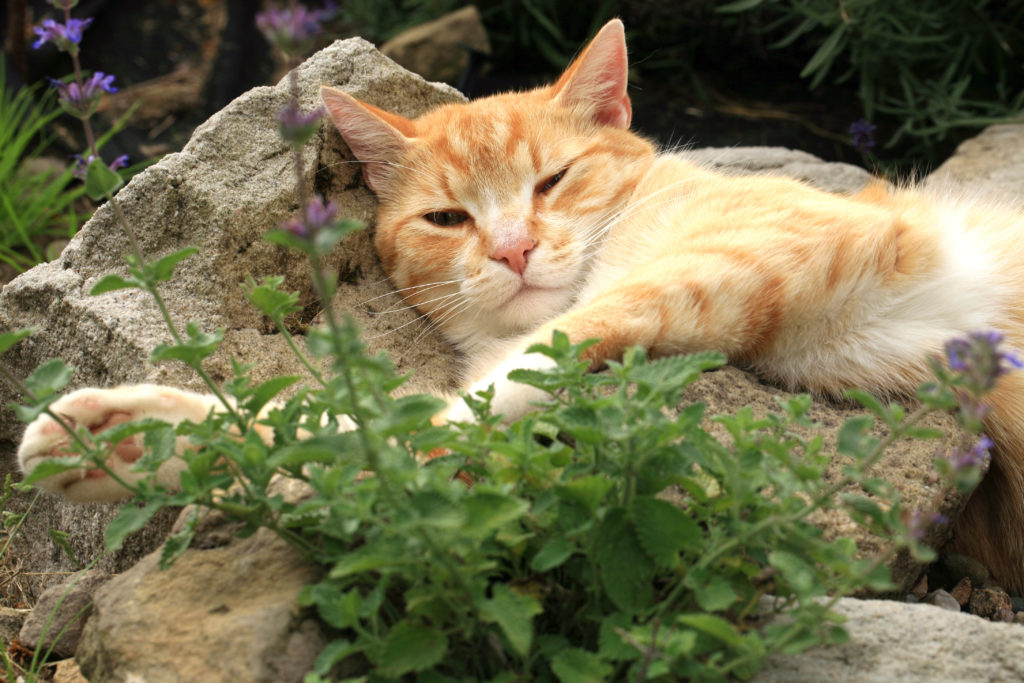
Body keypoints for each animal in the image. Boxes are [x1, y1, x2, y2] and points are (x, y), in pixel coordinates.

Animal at [14, 18, 1024, 589]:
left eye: (554, 180)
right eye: (448, 217)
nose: (512, 248)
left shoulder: (730, 262)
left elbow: (433, 418)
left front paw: (163, 443)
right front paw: (141, 445)